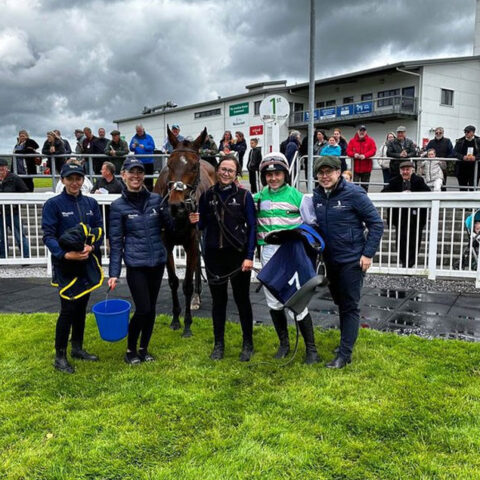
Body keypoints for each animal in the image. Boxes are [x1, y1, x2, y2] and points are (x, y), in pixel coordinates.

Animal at [155, 127, 215, 338]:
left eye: (194, 167)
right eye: (169, 165)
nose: (176, 205)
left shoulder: (191, 241)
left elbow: (187, 284)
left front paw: (187, 325)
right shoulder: (166, 242)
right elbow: (173, 281)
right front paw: (175, 320)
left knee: (197, 263)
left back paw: (197, 296)